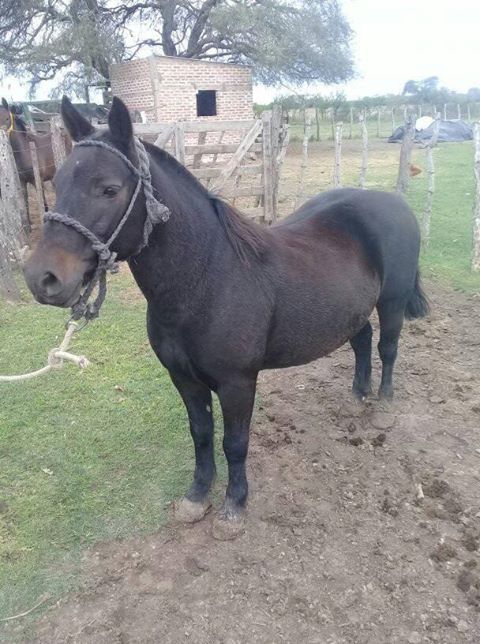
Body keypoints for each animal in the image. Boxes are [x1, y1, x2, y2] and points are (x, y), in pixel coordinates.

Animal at [0, 98, 72, 231]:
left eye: (7, 118)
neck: (26, 151)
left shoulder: (37, 179)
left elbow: (42, 199)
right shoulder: (23, 182)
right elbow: (25, 200)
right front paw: (28, 226)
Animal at [24, 97, 429, 540]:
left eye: (109, 189)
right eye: (59, 183)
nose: (42, 278)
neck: (206, 279)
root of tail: (395, 203)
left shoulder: (237, 383)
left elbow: (234, 443)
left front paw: (234, 506)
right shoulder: (184, 378)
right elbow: (201, 435)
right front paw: (197, 497)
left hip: (393, 301)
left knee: (387, 346)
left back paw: (383, 404)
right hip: (351, 311)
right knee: (362, 339)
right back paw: (357, 398)